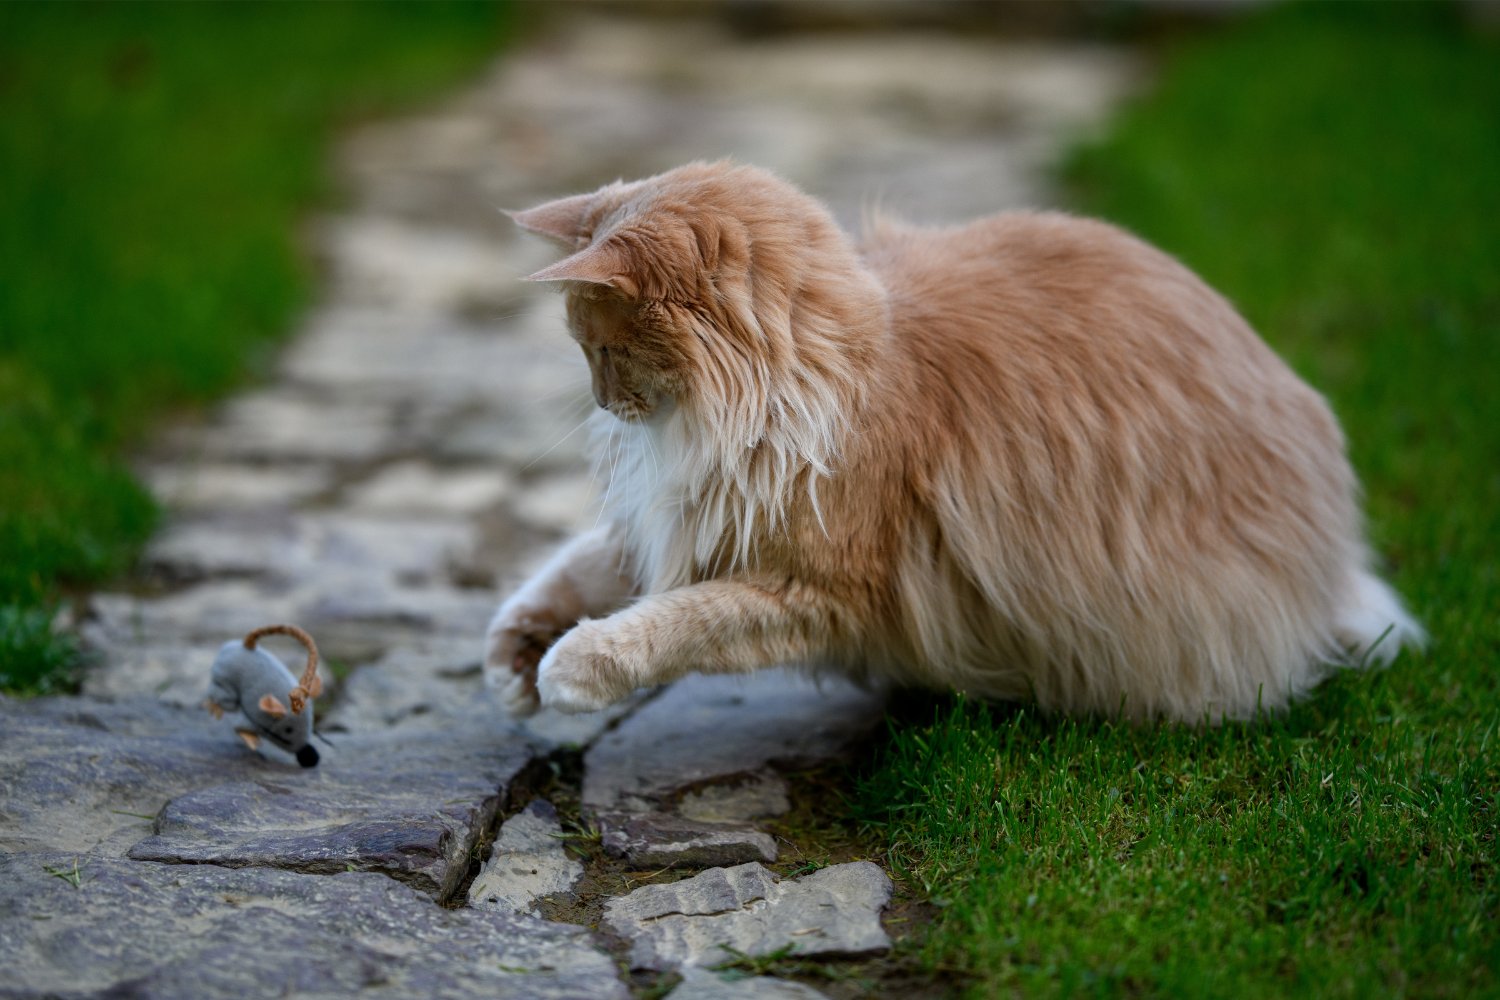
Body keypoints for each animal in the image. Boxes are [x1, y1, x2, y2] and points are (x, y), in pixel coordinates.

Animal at [480, 162, 1416, 728]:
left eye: (603, 351)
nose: (603, 399)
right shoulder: (695, 517)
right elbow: (575, 572)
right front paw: (513, 659)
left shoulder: (816, 588)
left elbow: (671, 622)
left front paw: (570, 668)